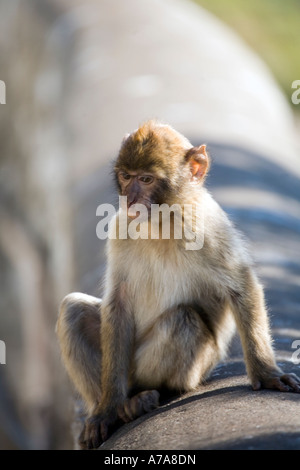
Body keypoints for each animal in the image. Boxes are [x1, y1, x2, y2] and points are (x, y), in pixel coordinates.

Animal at [55, 119, 298, 450]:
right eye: (126, 176)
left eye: (146, 179)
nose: (130, 199)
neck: (162, 220)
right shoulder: (120, 227)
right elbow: (118, 303)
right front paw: (106, 410)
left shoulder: (208, 227)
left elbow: (241, 285)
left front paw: (267, 373)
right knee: (74, 309)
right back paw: (118, 405)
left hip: (196, 366)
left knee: (182, 319)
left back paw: (149, 396)